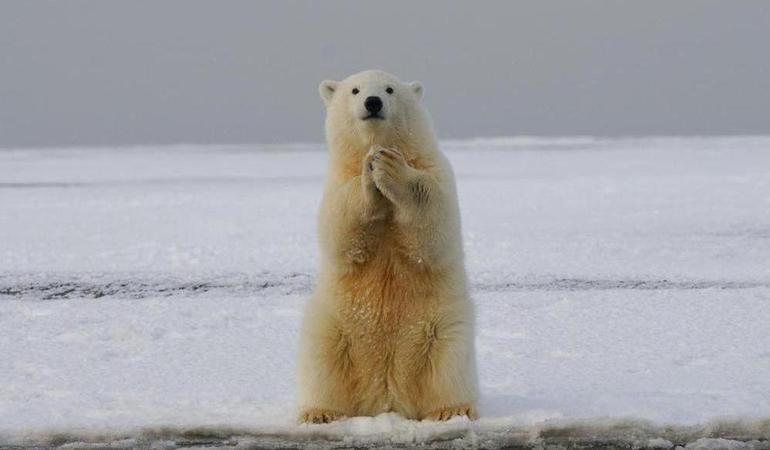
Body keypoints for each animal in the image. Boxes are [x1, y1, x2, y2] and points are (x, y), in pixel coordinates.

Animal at [297, 70, 478, 424]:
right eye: (355, 90)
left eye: (390, 89)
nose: (373, 102)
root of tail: (387, 398)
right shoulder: (336, 181)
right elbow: (340, 230)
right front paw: (371, 172)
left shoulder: (436, 169)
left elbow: (435, 227)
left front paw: (390, 167)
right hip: (334, 327)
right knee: (322, 362)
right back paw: (320, 413)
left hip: (442, 328)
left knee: (449, 365)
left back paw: (451, 410)